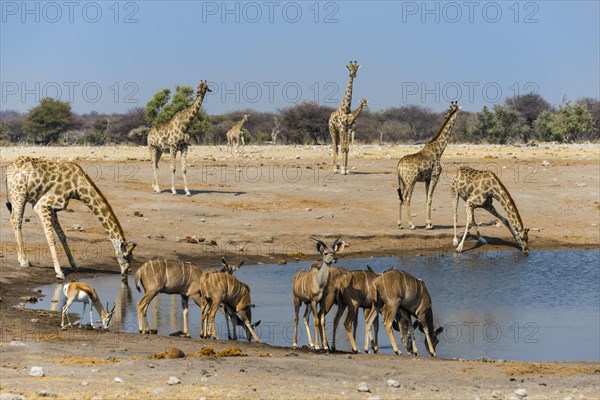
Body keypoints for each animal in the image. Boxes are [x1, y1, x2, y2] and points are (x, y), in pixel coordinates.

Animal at [4, 155, 136, 280]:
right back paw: (24, 261)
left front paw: (74, 265)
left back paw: (21, 259)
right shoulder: (42, 205)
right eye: (125, 257)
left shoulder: (53, 208)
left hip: (18, 196)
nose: (125, 273)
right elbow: (51, 238)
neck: (78, 187)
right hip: (19, 195)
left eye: (131, 258)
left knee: (14, 219)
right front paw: (59, 272)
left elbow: (62, 236)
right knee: (16, 220)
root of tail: (8, 169)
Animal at [396, 101, 462, 230]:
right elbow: (430, 199)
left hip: (402, 181)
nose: (445, 116)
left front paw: (429, 223)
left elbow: (427, 198)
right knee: (407, 198)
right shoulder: (435, 177)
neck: (438, 150)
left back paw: (400, 224)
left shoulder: (427, 179)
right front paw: (429, 225)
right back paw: (411, 224)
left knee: (400, 198)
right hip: (411, 180)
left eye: (448, 109)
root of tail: (399, 165)